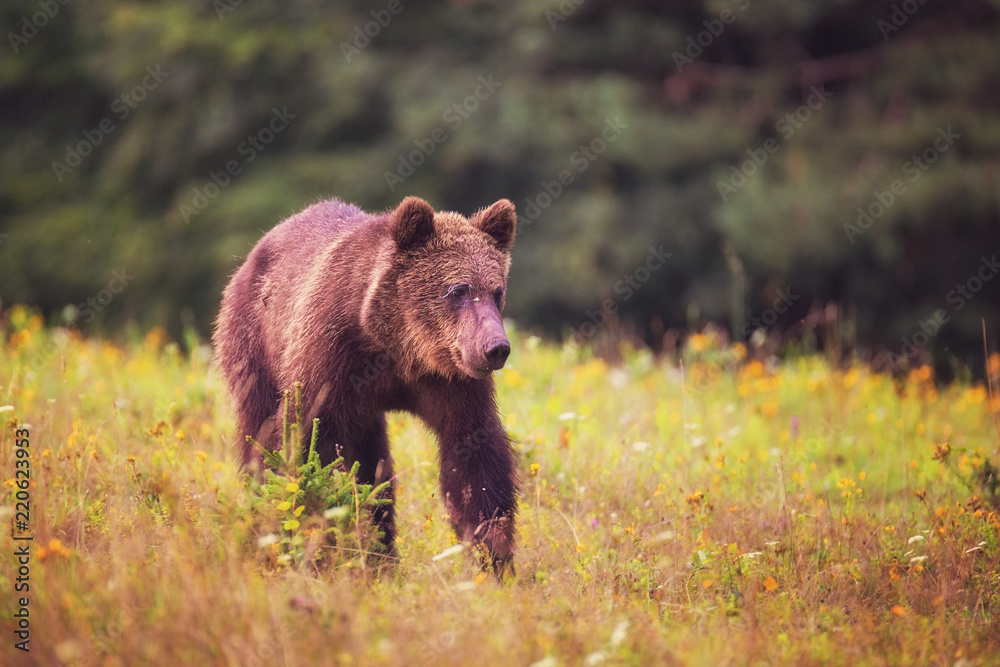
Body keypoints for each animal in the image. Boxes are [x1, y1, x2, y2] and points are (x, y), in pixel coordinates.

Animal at [215, 194, 520, 568]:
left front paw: (492, 553)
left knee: (373, 461)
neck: (398, 346)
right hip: (254, 342)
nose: (496, 348)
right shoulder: (330, 358)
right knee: (257, 431)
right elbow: (309, 446)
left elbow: (474, 457)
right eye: (458, 289)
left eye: (497, 291)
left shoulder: (452, 379)